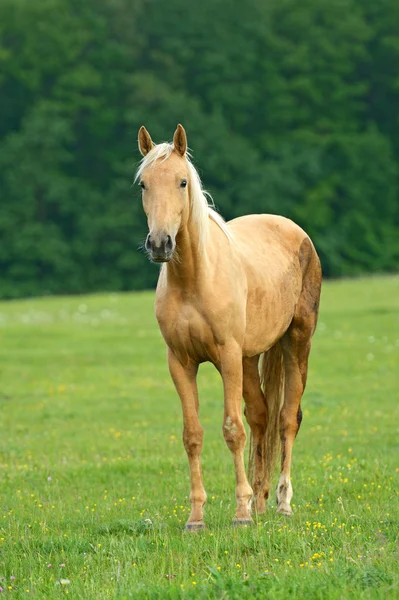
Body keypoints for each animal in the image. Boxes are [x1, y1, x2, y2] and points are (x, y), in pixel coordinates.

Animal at [137, 124, 322, 528]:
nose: (160, 243)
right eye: (144, 184)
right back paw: (262, 502)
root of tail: (294, 230)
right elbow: (193, 435)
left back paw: (282, 503)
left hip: (296, 342)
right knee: (261, 417)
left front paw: (240, 514)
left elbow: (232, 430)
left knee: (287, 419)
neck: (194, 280)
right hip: (250, 359)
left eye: (182, 182)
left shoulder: (227, 356)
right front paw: (196, 517)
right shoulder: (181, 362)